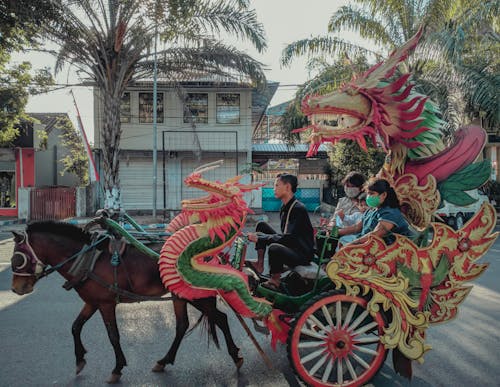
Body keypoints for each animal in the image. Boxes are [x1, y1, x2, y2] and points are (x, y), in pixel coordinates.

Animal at [7, 221, 242, 384]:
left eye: (17, 258)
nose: (17, 289)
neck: (88, 259)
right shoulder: (93, 302)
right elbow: (75, 327)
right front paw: (80, 360)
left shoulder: (106, 304)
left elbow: (113, 336)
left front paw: (117, 369)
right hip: (180, 296)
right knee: (182, 325)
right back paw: (163, 361)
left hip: (197, 297)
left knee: (220, 318)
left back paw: (236, 356)